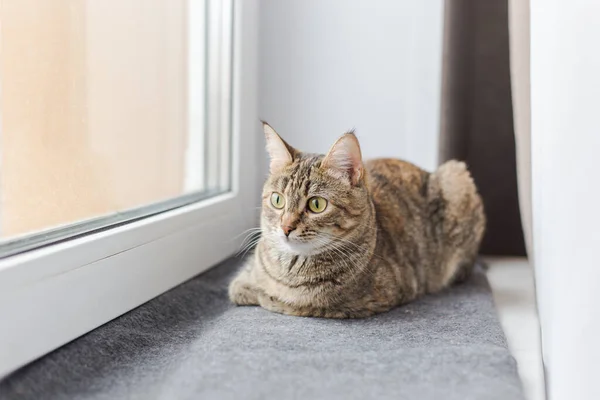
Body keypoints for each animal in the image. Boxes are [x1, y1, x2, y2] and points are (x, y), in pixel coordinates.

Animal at [227, 122, 486, 318]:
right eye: (277, 200)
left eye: (316, 204)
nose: (286, 227)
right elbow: (240, 286)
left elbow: (278, 300)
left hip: (456, 176)